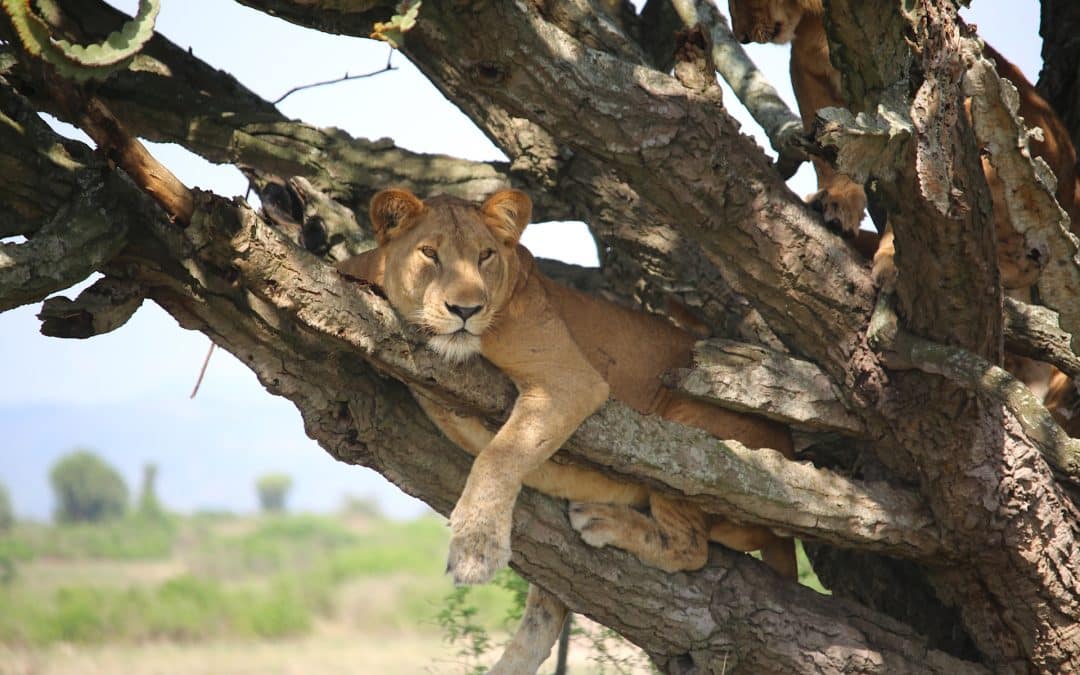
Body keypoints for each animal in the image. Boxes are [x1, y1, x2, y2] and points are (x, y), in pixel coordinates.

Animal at [339, 188, 797, 673]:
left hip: (692, 434)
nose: (466, 310)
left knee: (690, 546)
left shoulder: (571, 380)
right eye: (429, 253)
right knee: (543, 619)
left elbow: (500, 454)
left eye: (485, 256)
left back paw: (603, 520)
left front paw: (476, 549)